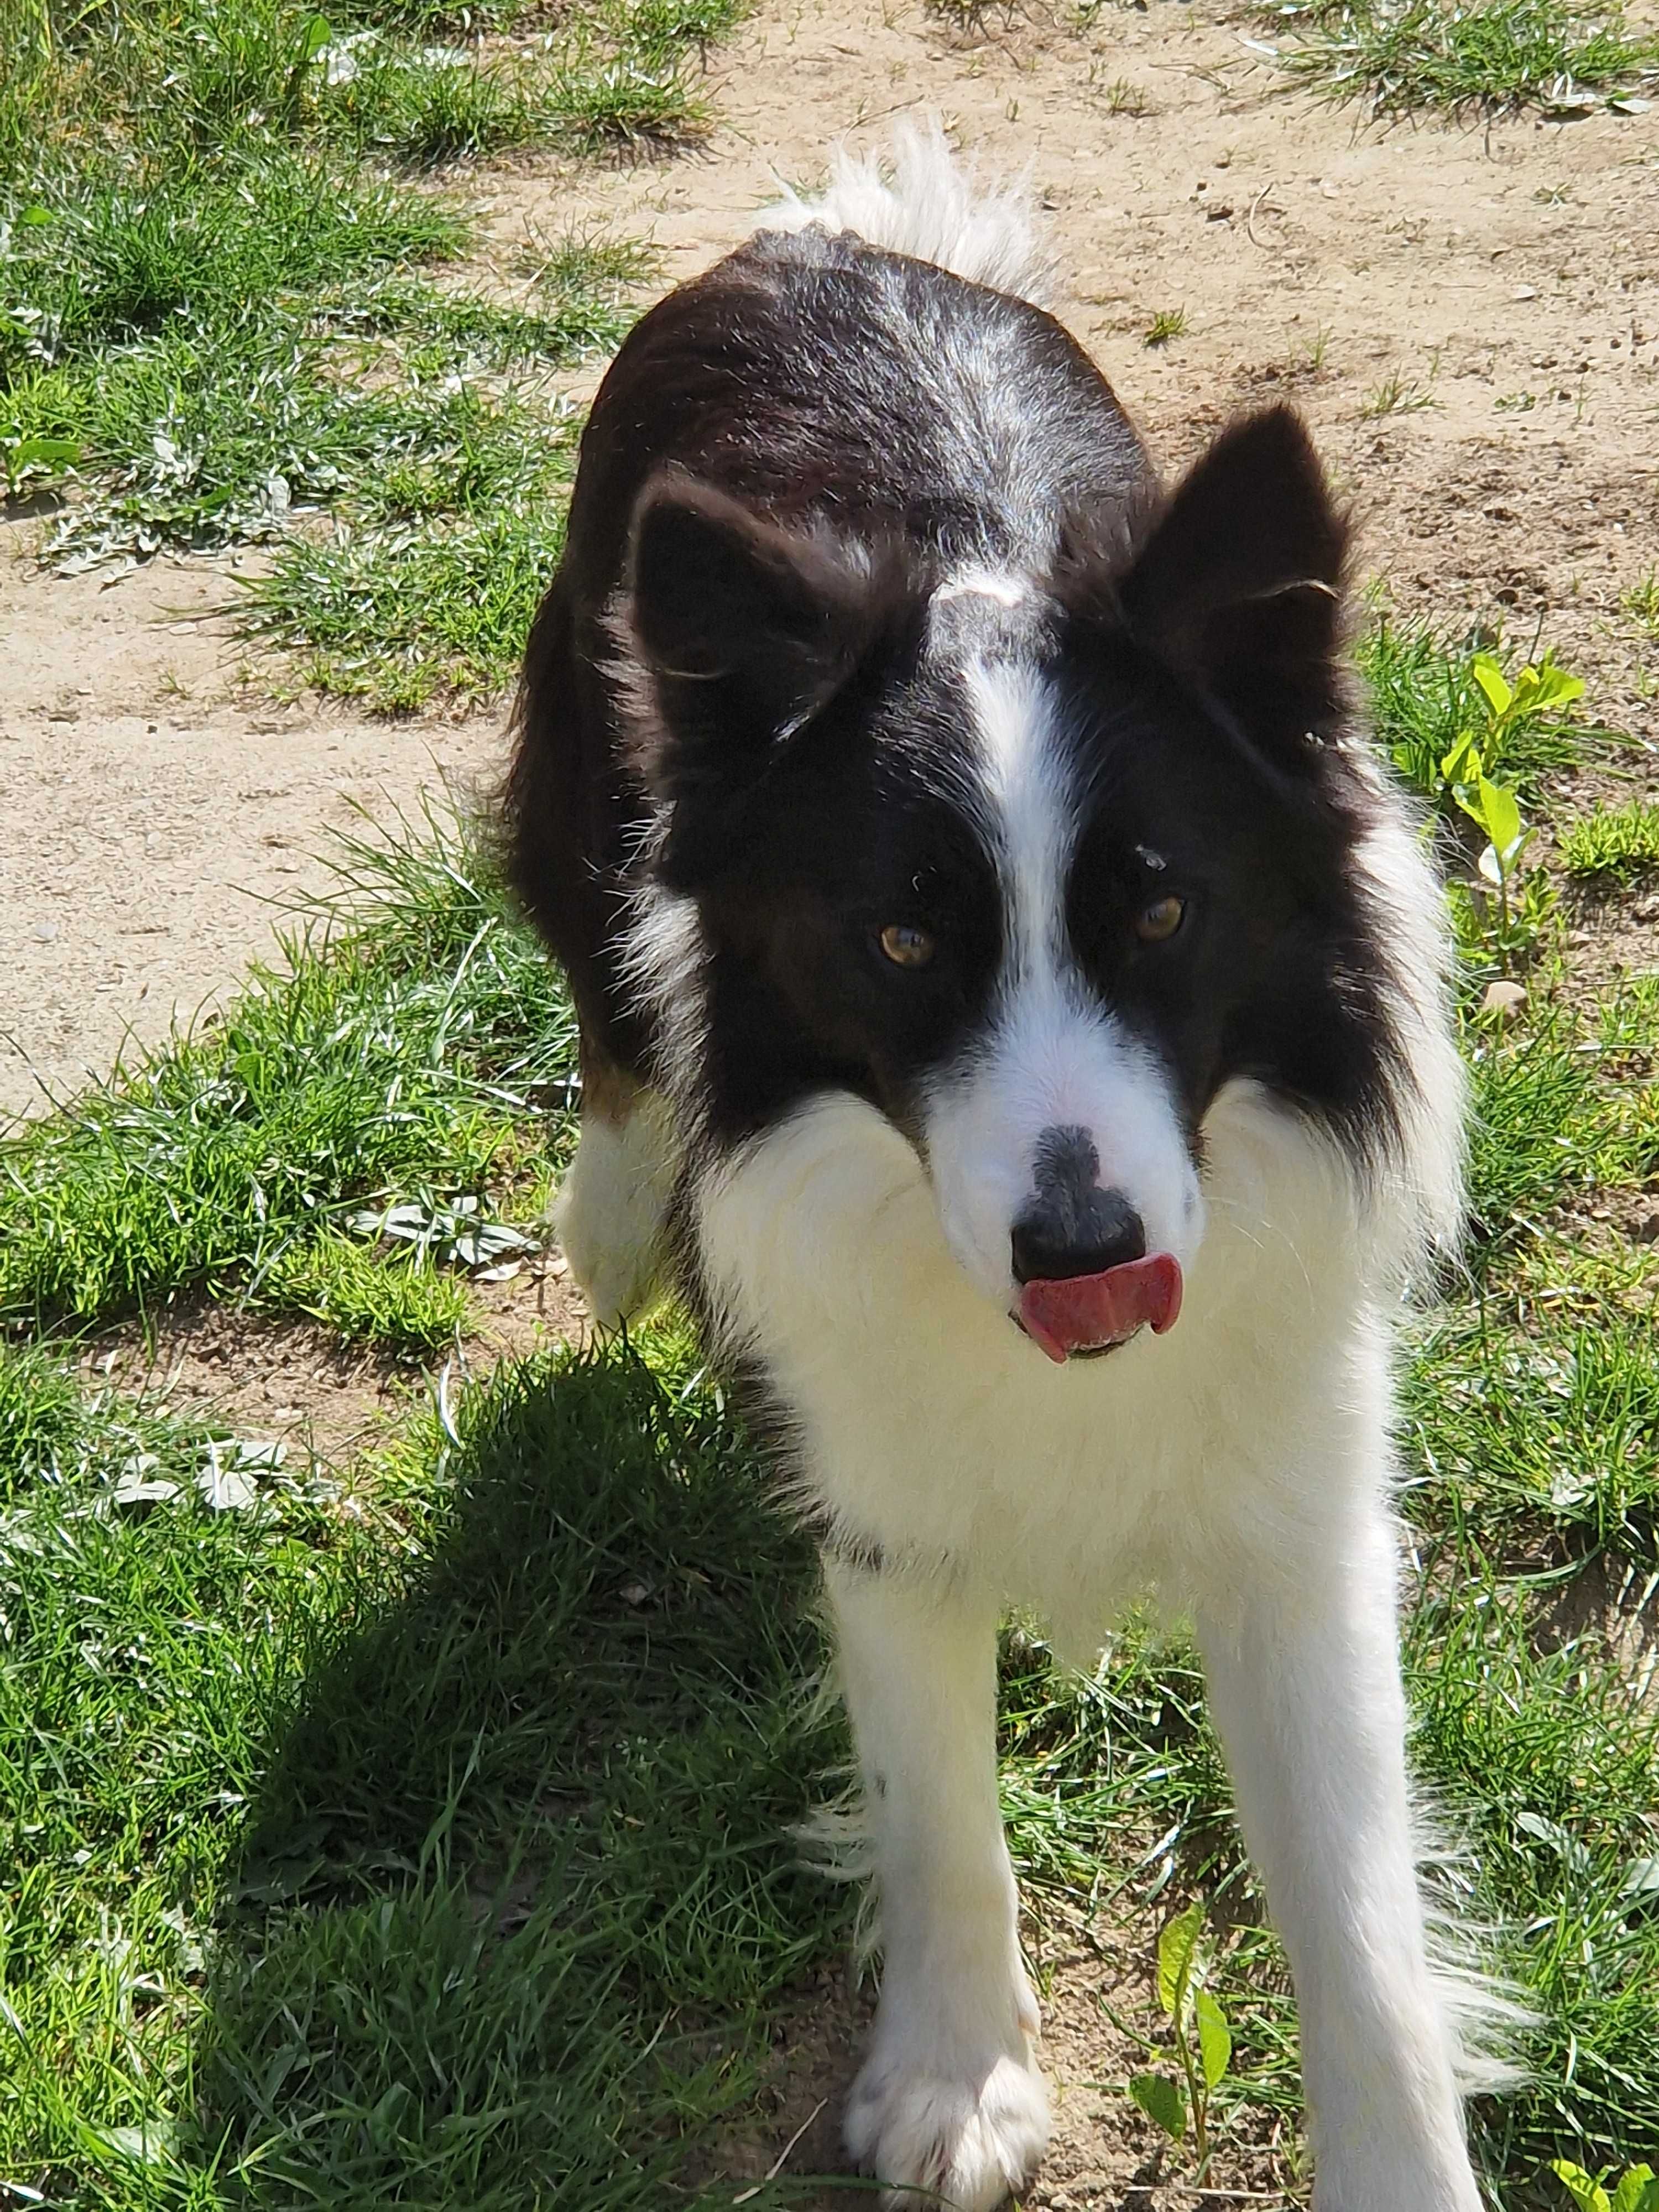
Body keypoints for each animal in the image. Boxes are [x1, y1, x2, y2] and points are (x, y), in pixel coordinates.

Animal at [507, 126, 1504, 2212]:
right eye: (901, 942)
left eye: (1162, 912)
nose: (1078, 1244)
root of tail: (828, 244)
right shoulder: (872, 1472)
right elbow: (934, 1798)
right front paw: (958, 2077)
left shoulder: (1298, 1490)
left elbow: (1358, 1914)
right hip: (588, 776)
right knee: (617, 1013)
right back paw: (617, 1225)